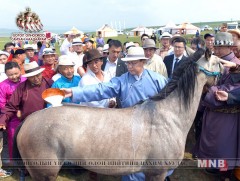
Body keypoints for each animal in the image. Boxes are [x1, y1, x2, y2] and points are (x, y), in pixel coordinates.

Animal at [12, 48, 223, 181]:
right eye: (218, 62)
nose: (220, 83)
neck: (168, 117)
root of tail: (28, 121)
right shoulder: (156, 172)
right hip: (44, 173)